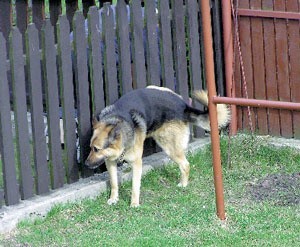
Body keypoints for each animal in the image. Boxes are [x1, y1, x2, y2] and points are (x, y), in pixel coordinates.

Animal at [85, 86, 231, 207]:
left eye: (96, 149)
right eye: (91, 147)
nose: (86, 164)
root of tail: (183, 105)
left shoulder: (137, 163)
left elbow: (135, 186)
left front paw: (134, 203)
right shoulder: (110, 162)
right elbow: (114, 183)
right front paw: (114, 199)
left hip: (169, 148)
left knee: (185, 164)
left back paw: (183, 184)